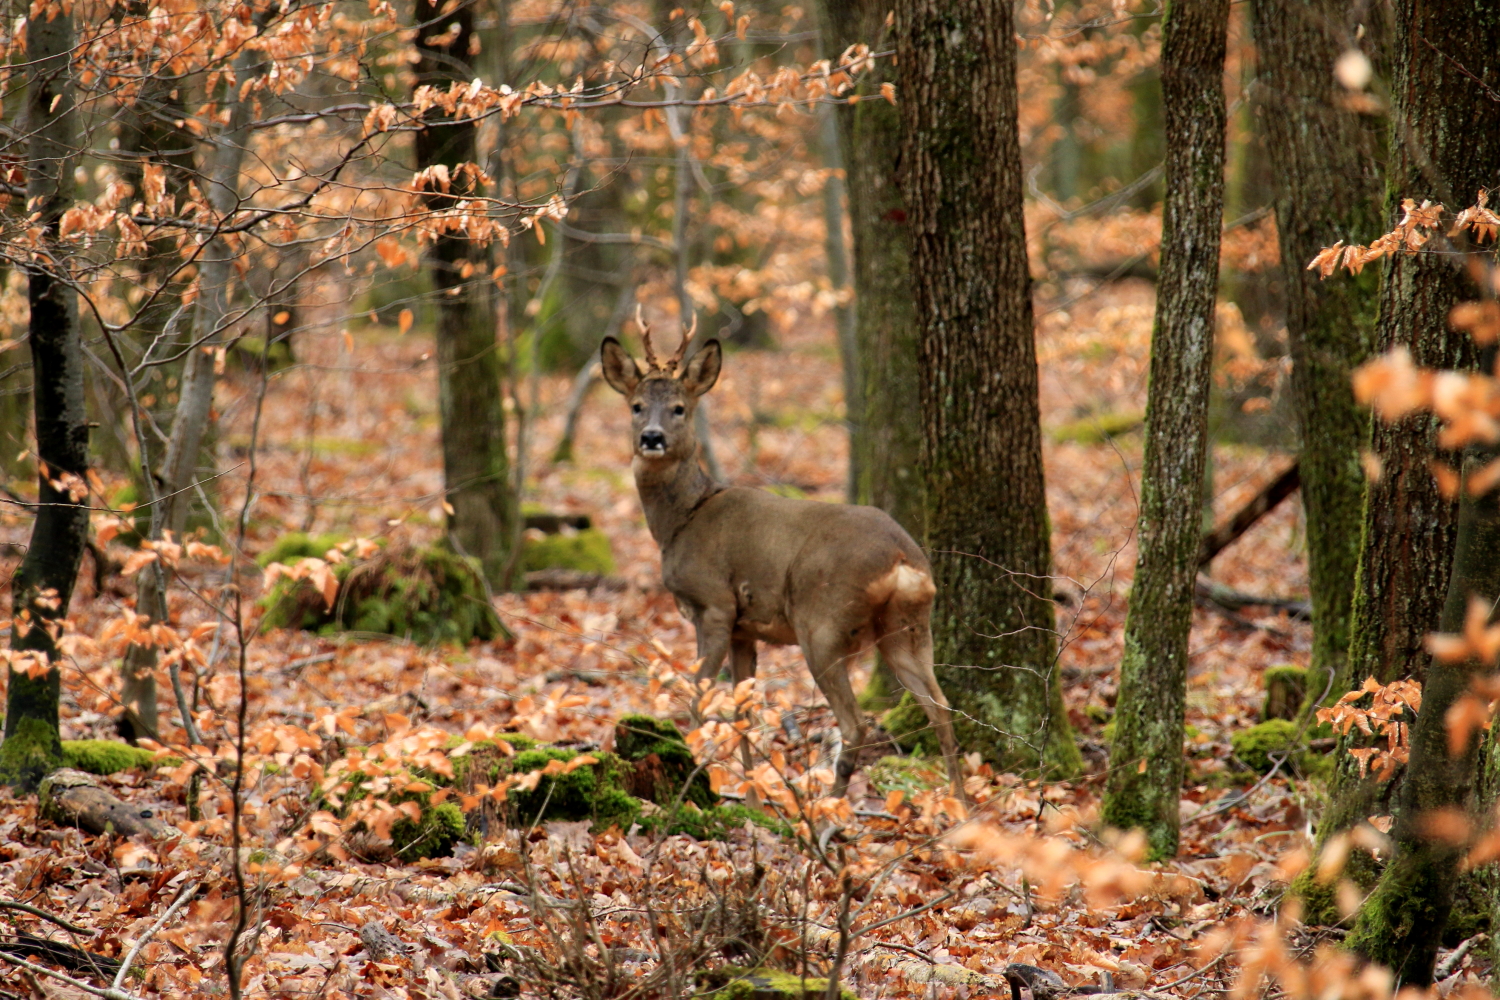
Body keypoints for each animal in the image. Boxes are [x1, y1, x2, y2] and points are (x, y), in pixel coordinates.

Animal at [597, 320, 960, 797]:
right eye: (637, 406)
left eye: (679, 408)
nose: (651, 438)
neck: (683, 519)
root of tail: (903, 559)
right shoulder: (744, 629)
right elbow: (743, 713)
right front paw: (752, 799)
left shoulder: (715, 605)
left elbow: (698, 698)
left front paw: (697, 781)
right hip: (907, 628)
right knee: (942, 709)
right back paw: (963, 807)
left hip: (823, 623)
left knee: (855, 723)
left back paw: (832, 809)